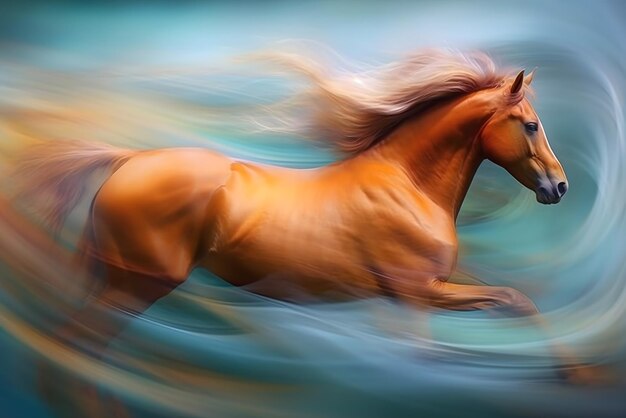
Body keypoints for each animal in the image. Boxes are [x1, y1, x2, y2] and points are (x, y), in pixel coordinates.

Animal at [12, 51, 592, 392]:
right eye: (531, 124)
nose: (560, 187)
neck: (407, 184)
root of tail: (126, 160)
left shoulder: (430, 286)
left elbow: (515, 300)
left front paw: (575, 372)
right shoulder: (416, 294)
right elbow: (500, 307)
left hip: (114, 278)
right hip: (139, 284)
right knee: (74, 351)